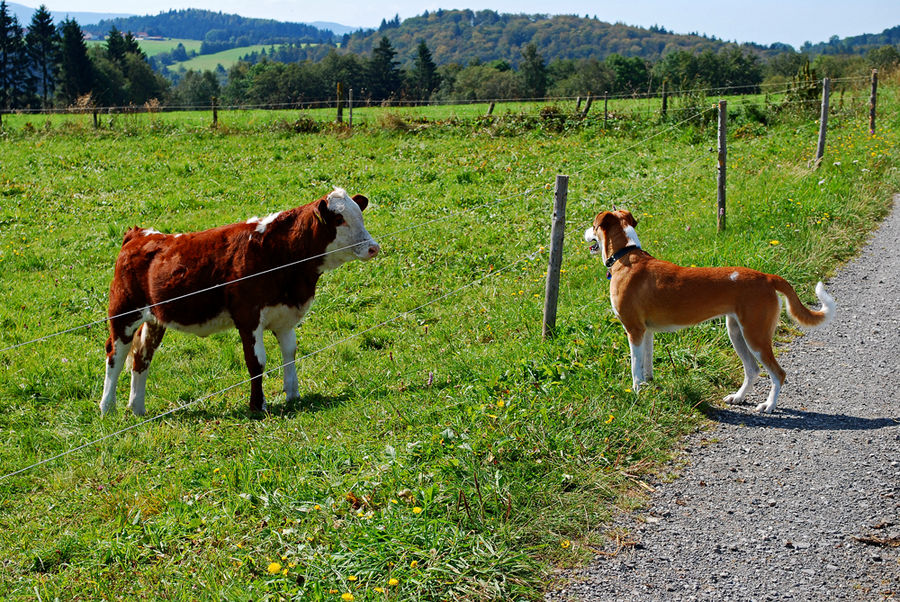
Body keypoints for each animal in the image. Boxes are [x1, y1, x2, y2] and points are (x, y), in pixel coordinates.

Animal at [100, 186, 382, 412]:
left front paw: (293, 396)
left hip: (155, 319)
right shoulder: (248, 317)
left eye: (360, 214)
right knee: (115, 354)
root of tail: (139, 234)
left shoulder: (285, 316)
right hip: (124, 313)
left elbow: (289, 352)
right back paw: (107, 408)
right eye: (339, 219)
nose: (373, 247)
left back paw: (137, 409)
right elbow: (256, 362)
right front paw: (258, 406)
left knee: (141, 357)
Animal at [584, 209, 836, 410]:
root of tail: (766, 277)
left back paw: (769, 405)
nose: (584, 232)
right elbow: (646, 365)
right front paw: (649, 385)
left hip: (755, 335)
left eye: (594, 225)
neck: (625, 255)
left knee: (778, 373)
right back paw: (738, 397)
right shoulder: (646, 332)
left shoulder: (634, 330)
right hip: (736, 331)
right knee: (753, 370)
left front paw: (637, 394)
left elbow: (635, 369)